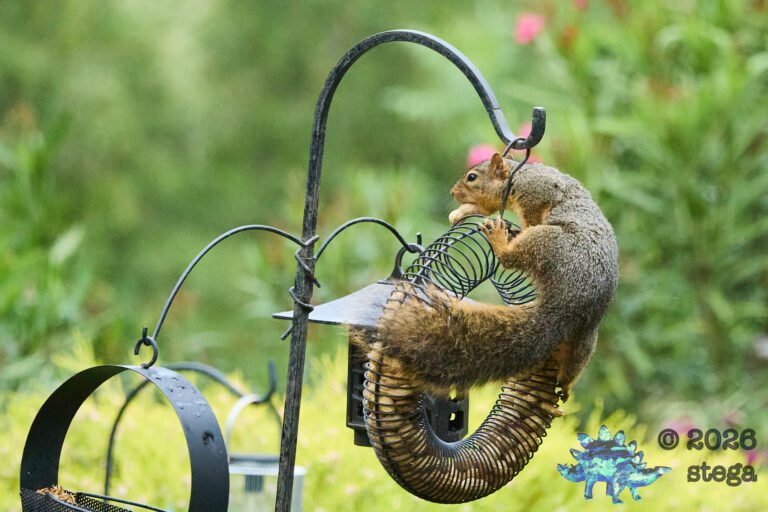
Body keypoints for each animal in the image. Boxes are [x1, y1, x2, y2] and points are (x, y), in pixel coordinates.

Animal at [370, 153, 619, 402]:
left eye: (472, 177)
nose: (453, 193)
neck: (517, 175)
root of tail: (566, 304)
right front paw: (461, 213)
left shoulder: (538, 192)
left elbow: (531, 218)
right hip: (585, 335)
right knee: (576, 361)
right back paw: (565, 386)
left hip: (547, 240)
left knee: (510, 257)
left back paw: (499, 238)